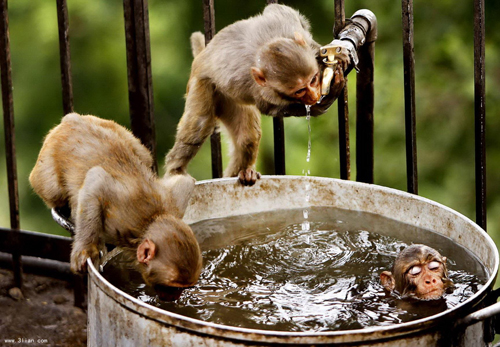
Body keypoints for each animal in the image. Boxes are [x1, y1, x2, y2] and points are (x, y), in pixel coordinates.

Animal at [30, 113, 202, 296]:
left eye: (184, 287)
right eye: (173, 287)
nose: (175, 297)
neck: (149, 221)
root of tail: (72, 119)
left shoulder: (173, 204)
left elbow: (186, 181)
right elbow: (96, 179)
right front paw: (85, 248)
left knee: (144, 155)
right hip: (47, 163)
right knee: (54, 190)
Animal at [164, 3, 348, 188]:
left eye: (313, 79)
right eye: (299, 91)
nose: (314, 95)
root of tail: (201, 57)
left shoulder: (287, 23)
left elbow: (278, 9)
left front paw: (326, 54)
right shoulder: (262, 91)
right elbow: (270, 108)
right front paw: (322, 103)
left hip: (228, 100)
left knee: (247, 138)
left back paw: (243, 172)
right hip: (203, 84)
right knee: (199, 125)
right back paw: (176, 171)